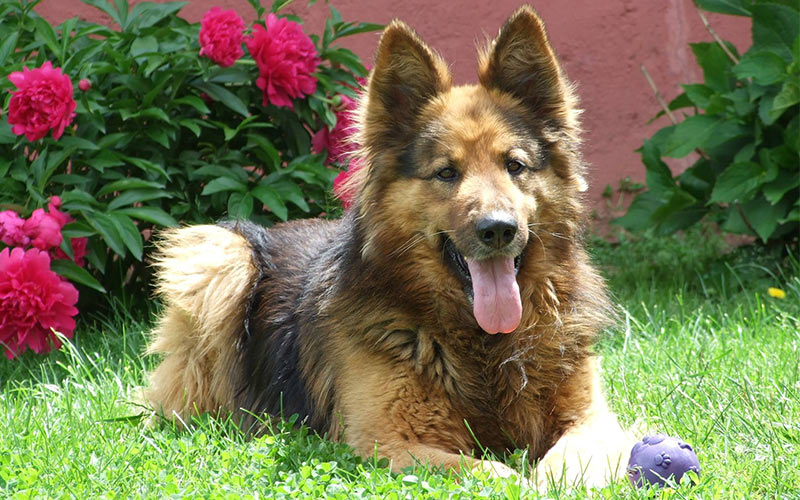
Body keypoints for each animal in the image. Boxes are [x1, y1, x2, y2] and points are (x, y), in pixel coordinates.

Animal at [142, 5, 632, 490]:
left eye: (515, 166)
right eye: (446, 173)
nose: (498, 229)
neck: (483, 344)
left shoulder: (593, 420)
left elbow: (568, 458)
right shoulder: (390, 440)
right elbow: (493, 472)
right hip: (221, 253)